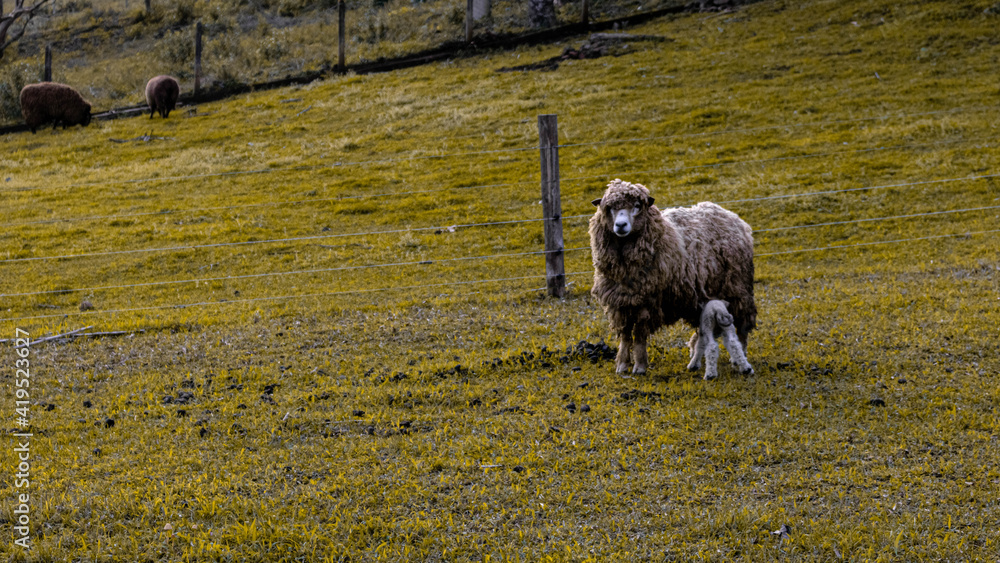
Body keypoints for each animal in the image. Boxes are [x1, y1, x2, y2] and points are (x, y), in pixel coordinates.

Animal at [589, 178, 756, 375]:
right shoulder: (621, 303)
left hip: (738, 289)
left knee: (742, 326)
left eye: (637, 206)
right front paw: (622, 365)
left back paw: (740, 356)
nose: (620, 225)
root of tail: (732, 217)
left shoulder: (647, 301)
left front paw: (639, 366)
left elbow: (639, 334)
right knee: (703, 330)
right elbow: (625, 335)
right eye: (609, 208)